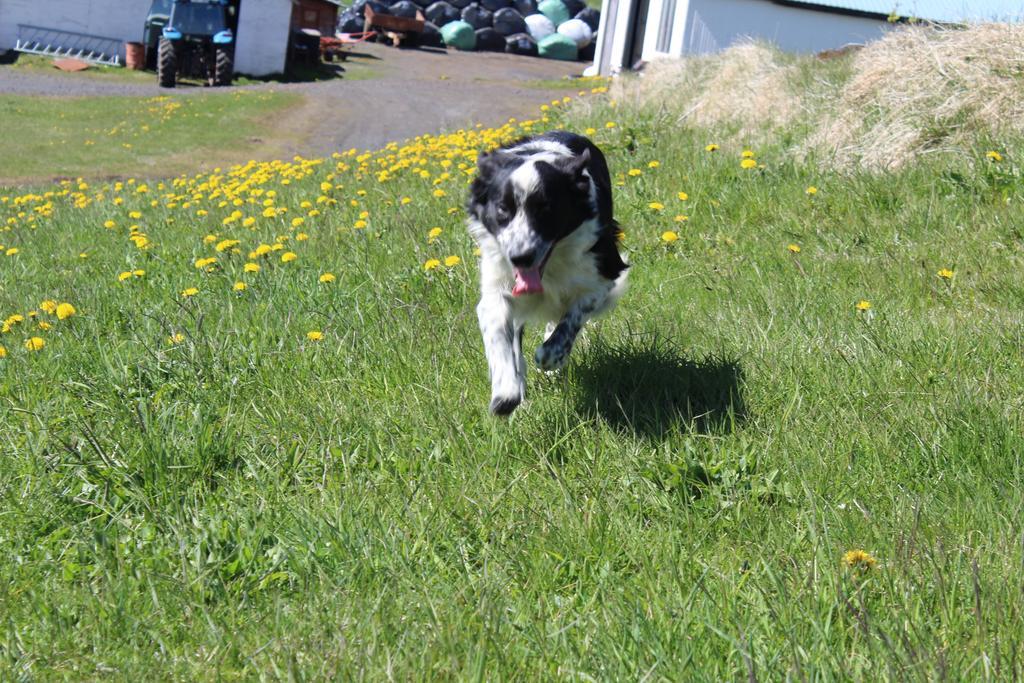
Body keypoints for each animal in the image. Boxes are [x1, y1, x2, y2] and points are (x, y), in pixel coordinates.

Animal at [468, 130, 626, 413]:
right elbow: (498, 332)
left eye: (546, 209)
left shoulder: (604, 272)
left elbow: (572, 316)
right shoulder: (498, 283)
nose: (521, 257)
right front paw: (506, 392)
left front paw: (551, 356)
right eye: (502, 209)